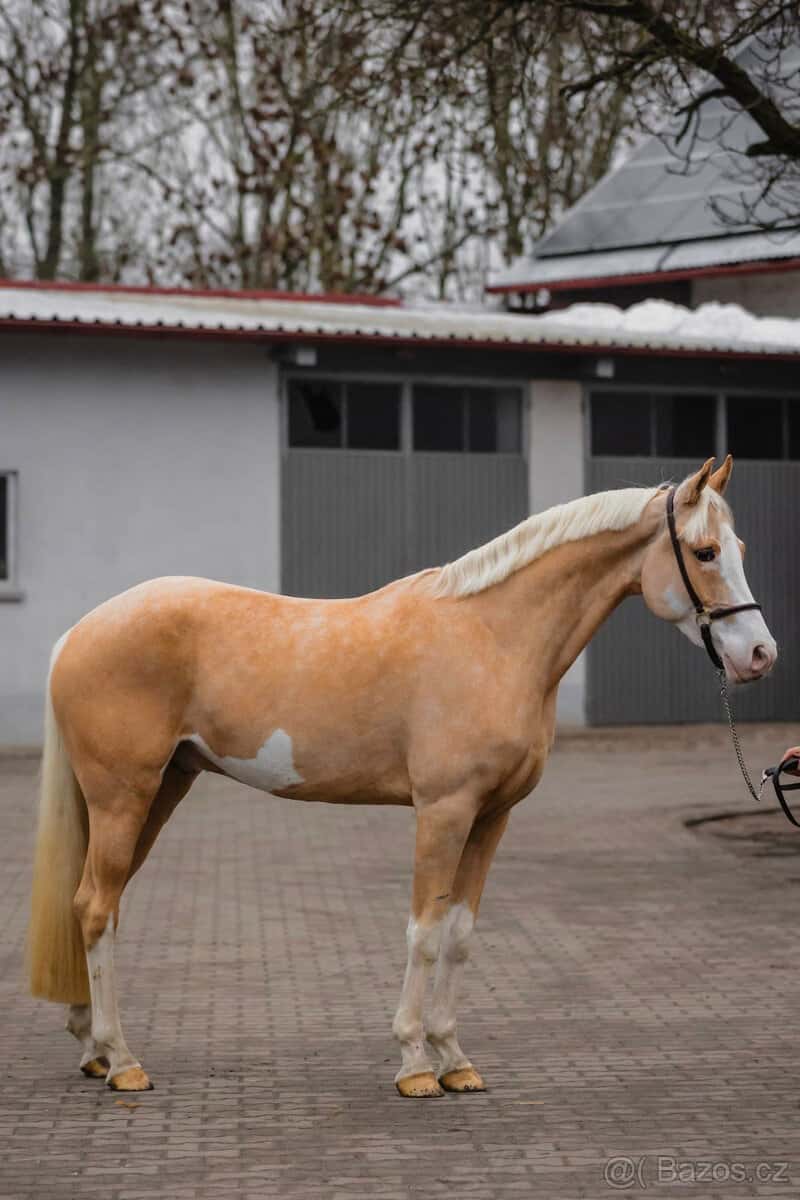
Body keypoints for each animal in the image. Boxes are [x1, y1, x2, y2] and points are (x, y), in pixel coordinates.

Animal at [27, 455, 776, 1097]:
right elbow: (423, 929)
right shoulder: (443, 810)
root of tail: (77, 632)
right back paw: (124, 1061)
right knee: (95, 907)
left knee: (97, 902)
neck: (493, 637)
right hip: (124, 796)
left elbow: (461, 934)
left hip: (158, 791)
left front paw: (455, 1059)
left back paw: (93, 1048)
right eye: (705, 553)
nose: (760, 655)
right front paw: (415, 1063)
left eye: (742, 549)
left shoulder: (492, 816)